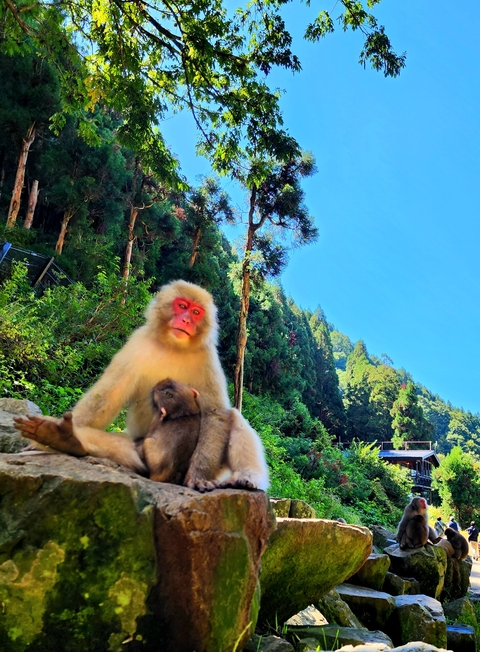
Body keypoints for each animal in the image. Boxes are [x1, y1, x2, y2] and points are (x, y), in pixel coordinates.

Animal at [14, 279, 269, 492]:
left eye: (197, 312)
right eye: (182, 306)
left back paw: (245, 478)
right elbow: (108, 396)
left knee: (232, 417)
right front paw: (48, 439)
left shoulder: (208, 357)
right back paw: (63, 437)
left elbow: (214, 414)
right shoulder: (137, 342)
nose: (186, 320)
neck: (174, 346)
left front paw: (198, 476)